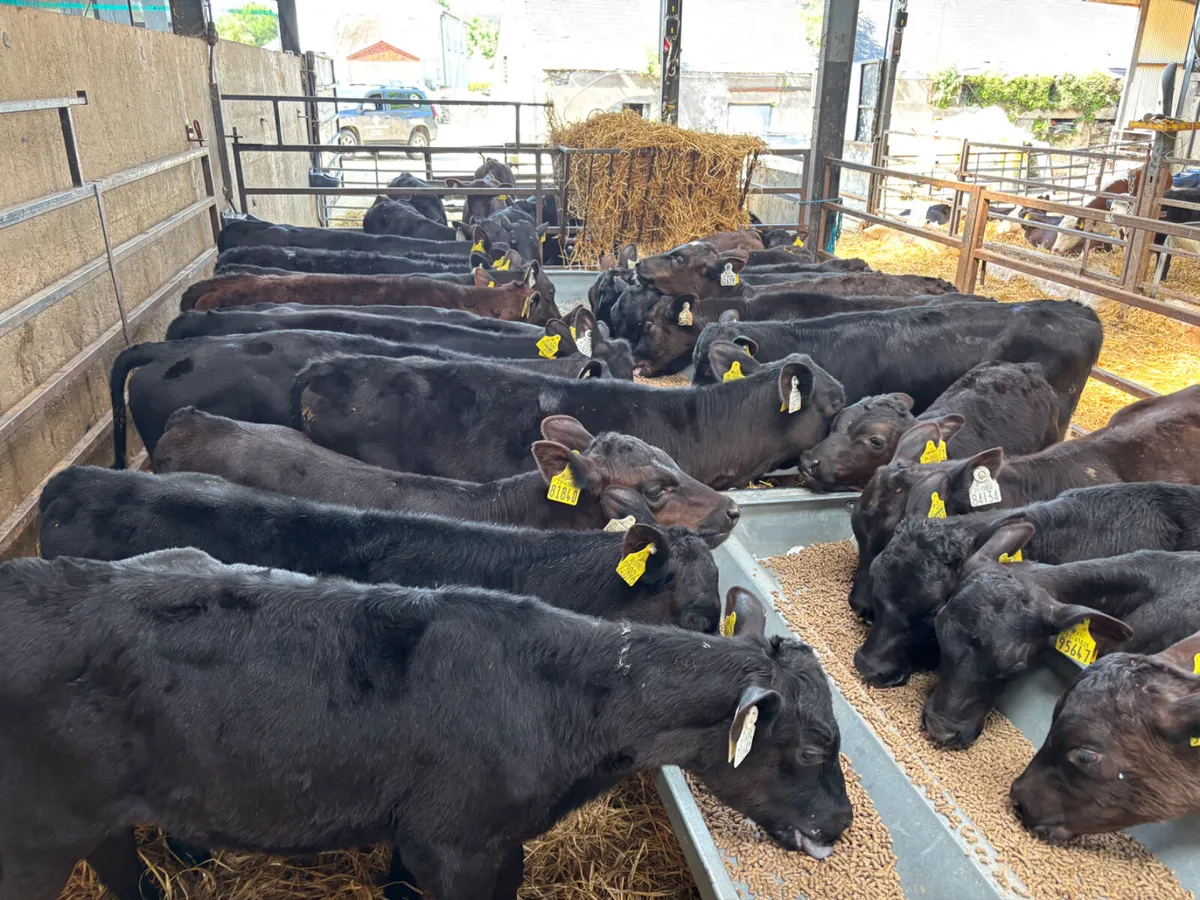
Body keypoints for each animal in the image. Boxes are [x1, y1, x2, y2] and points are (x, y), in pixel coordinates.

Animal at [0, 549, 851, 900]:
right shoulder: (455, 842)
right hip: (38, 832)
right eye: (814, 744)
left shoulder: (476, 838)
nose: (841, 825)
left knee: (117, 859)